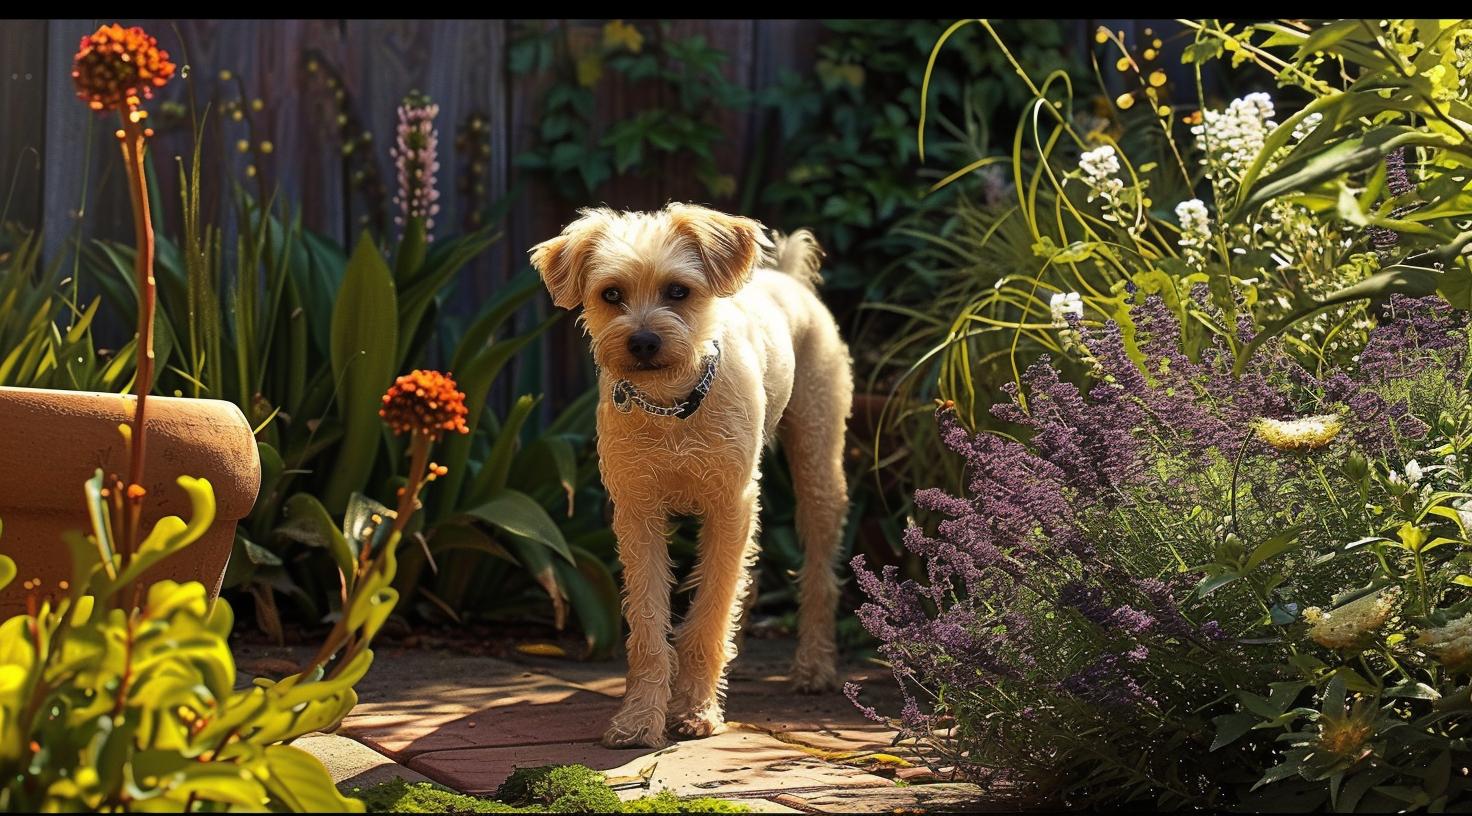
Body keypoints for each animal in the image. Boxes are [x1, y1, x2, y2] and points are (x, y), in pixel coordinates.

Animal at [529, 201, 853, 742]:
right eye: (610, 294)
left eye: (678, 290)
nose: (642, 342)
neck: (671, 408)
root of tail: (786, 278)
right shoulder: (637, 513)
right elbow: (649, 622)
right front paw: (640, 719)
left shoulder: (729, 504)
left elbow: (708, 618)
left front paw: (697, 710)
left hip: (818, 469)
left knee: (817, 577)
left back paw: (814, 667)